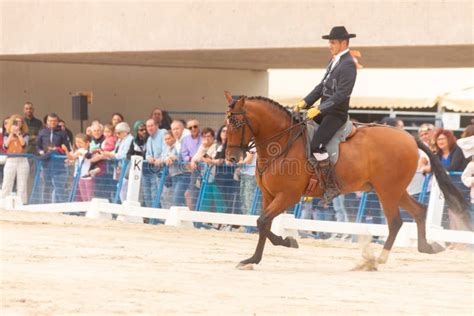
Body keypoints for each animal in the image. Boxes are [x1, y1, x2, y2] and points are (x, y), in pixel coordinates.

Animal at [225, 91, 470, 270]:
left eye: (237, 123)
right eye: (227, 124)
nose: (231, 158)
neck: (284, 141)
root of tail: (409, 137)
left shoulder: (288, 196)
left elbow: (263, 222)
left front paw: (283, 244)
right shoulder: (269, 195)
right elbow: (263, 223)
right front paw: (256, 257)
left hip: (387, 191)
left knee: (395, 222)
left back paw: (377, 260)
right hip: (394, 190)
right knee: (419, 210)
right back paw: (427, 247)